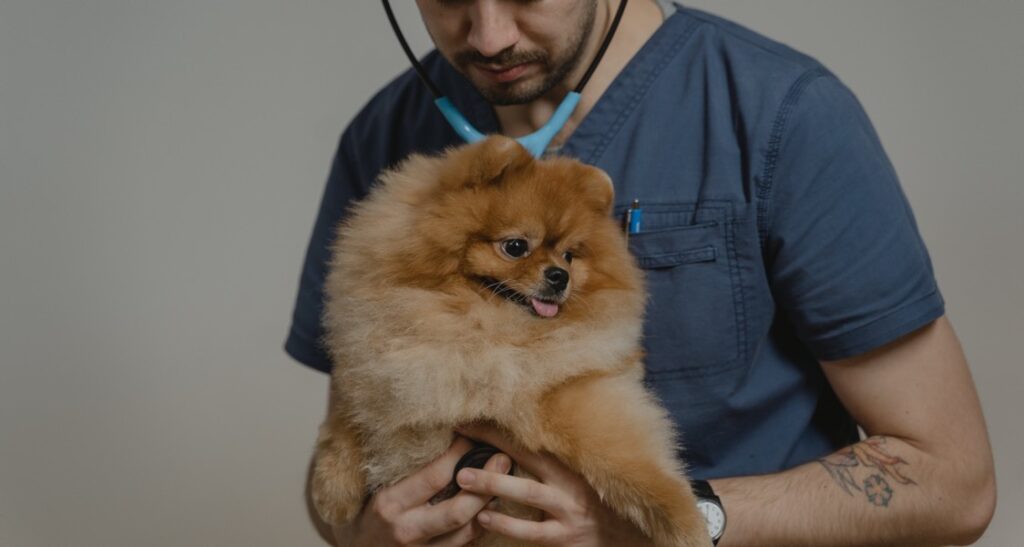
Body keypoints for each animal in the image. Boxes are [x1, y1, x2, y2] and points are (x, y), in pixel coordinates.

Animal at [311, 137, 708, 547]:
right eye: (516, 246)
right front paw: (332, 492)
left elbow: (625, 457)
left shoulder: (572, 391)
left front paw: (687, 524)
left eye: (569, 255)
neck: (483, 331)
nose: (560, 276)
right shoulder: (378, 374)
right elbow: (346, 420)